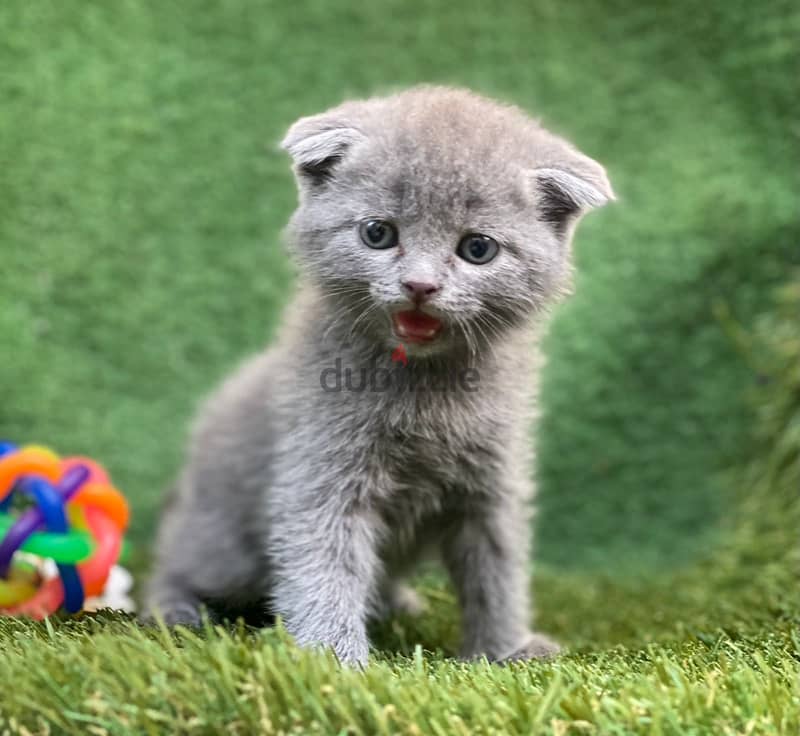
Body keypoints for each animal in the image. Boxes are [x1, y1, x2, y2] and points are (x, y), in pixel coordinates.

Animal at [147, 87, 616, 668]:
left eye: (477, 248)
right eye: (378, 233)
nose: (420, 285)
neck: (424, 384)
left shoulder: (494, 482)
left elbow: (497, 569)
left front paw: (505, 650)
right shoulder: (321, 470)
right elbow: (324, 564)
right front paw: (335, 660)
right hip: (224, 549)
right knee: (176, 565)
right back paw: (175, 611)